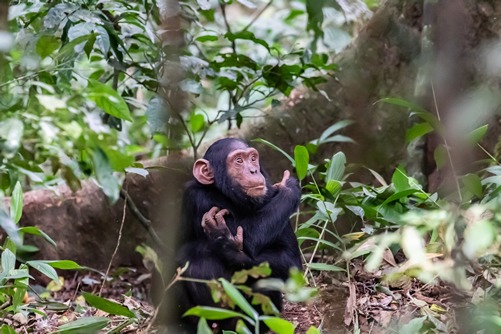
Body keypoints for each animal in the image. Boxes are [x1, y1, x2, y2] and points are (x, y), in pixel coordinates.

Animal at [172, 138, 300, 332]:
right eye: (239, 161)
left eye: (253, 158)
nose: (253, 170)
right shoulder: (197, 196)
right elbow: (251, 238)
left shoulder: (270, 195)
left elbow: (289, 259)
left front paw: (228, 247)